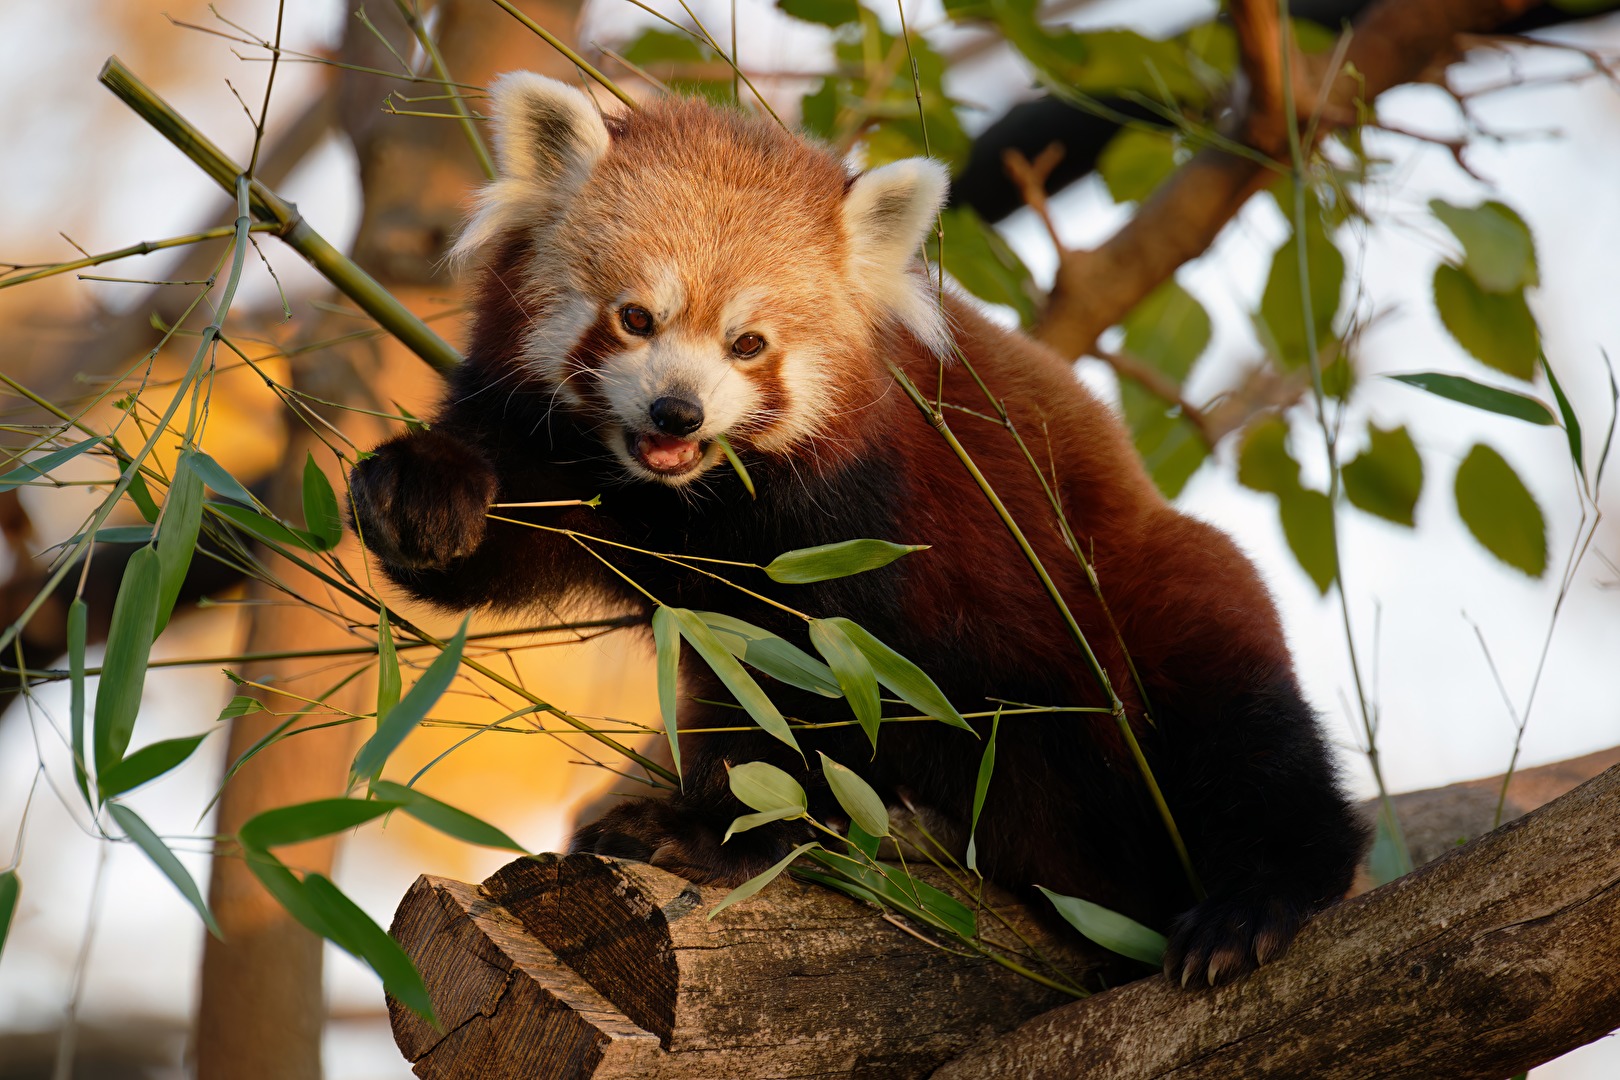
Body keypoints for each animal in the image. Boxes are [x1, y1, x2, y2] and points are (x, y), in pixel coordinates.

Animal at [348, 73, 1369, 988]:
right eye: (635, 318)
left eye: (747, 344)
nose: (678, 412)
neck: (688, 500)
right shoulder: (562, 458)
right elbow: (506, 538)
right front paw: (420, 497)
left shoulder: (868, 526)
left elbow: (832, 689)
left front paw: (725, 827)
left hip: (1141, 612)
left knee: (1246, 729)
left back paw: (1251, 903)